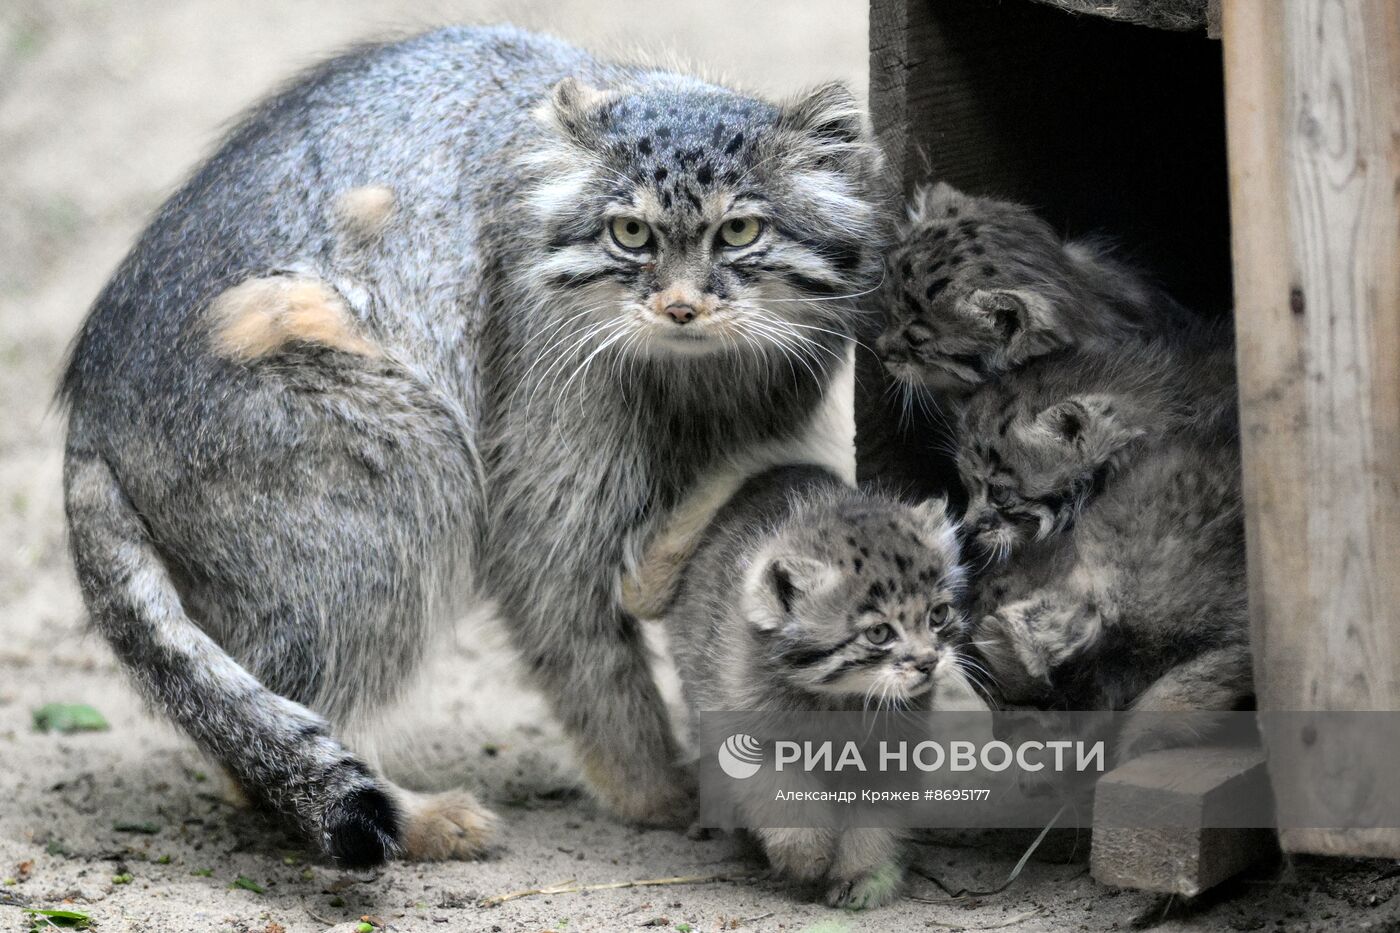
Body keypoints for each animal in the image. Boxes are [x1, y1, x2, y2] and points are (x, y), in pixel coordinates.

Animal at [63, 23, 884, 862]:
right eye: (630, 234)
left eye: (739, 230)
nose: (680, 307)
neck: (693, 379)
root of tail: (93, 410)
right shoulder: (545, 435)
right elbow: (578, 631)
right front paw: (652, 786)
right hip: (392, 449)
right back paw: (414, 815)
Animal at [660, 462, 968, 902]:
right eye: (879, 633)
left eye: (938, 614)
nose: (928, 663)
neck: (838, 699)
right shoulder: (747, 732)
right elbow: (779, 793)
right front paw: (806, 856)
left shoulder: (891, 748)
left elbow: (875, 814)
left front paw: (863, 874)